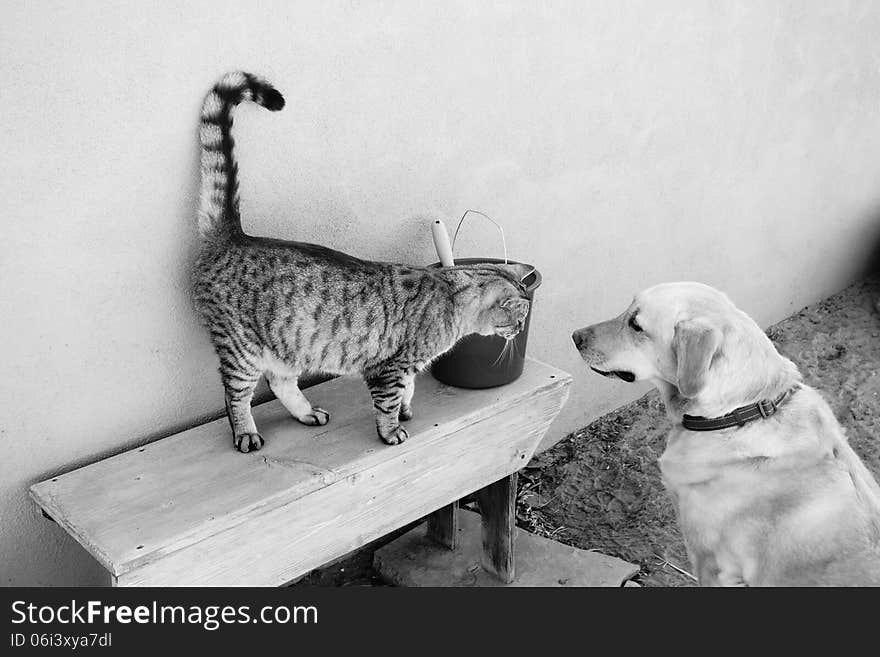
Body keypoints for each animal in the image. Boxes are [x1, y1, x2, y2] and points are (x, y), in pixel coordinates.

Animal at [191, 72, 528, 452]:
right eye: (518, 319)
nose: (519, 331)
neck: (448, 295)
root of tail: (233, 235)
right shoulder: (389, 368)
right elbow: (388, 402)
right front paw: (392, 431)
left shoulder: (405, 367)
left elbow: (408, 391)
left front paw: (406, 411)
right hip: (241, 350)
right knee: (235, 395)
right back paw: (246, 433)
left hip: (285, 346)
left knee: (279, 383)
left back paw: (308, 413)